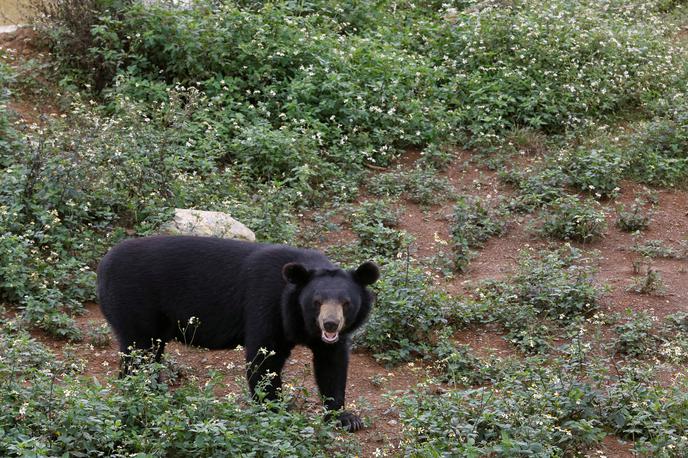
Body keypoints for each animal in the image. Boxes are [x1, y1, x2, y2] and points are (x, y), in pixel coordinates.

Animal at [97, 234, 378, 432]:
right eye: (316, 302)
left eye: (346, 303)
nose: (330, 324)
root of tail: (103, 265)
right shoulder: (266, 304)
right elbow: (263, 358)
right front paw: (273, 412)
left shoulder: (325, 338)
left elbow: (331, 364)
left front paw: (347, 418)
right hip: (134, 302)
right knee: (138, 353)